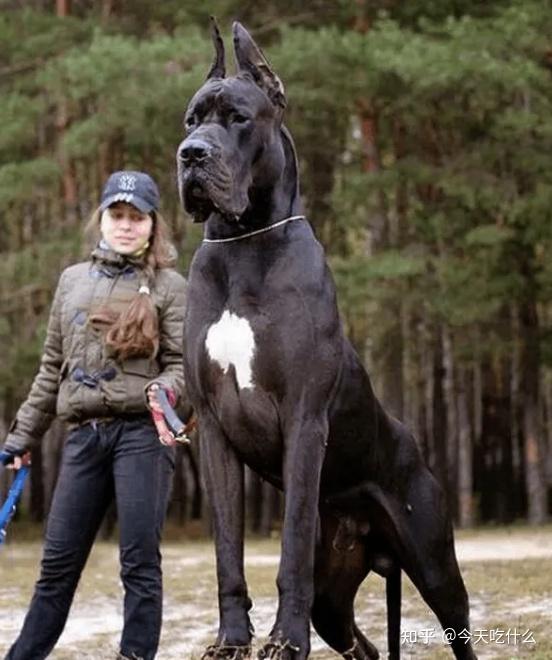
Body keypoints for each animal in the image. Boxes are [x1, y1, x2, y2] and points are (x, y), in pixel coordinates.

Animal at [178, 20, 478, 660]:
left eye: (238, 118)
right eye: (191, 121)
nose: (191, 155)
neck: (244, 244)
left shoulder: (303, 418)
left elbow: (289, 545)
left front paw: (283, 641)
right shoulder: (213, 432)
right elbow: (226, 552)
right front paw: (231, 639)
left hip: (435, 563)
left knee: (458, 626)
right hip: (334, 598)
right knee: (362, 643)